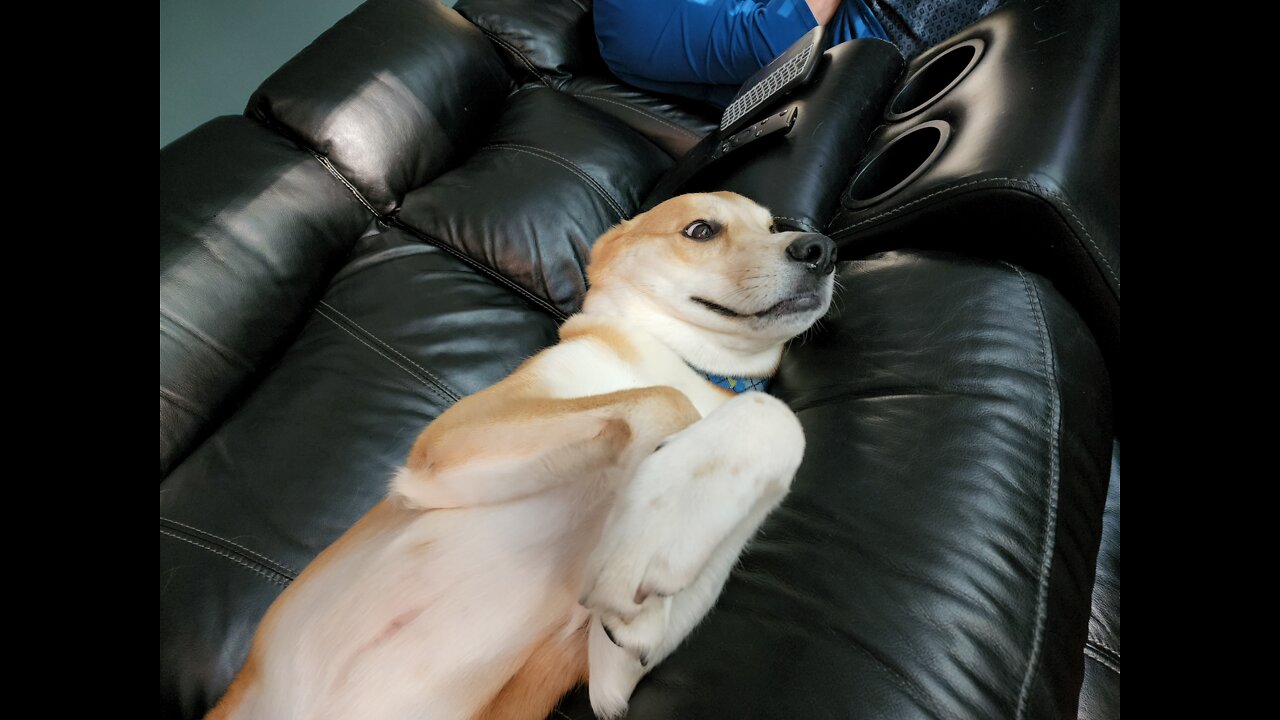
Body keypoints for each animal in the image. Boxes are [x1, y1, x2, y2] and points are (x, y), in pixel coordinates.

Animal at [209, 190, 839, 717]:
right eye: (702, 230)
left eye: (773, 225)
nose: (822, 248)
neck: (694, 368)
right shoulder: (450, 443)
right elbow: (667, 401)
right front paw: (656, 511)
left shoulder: (608, 677)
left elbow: (774, 428)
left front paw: (658, 548)